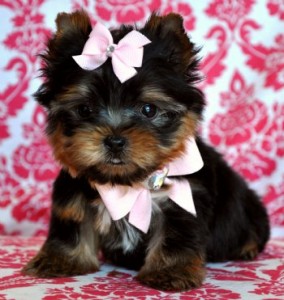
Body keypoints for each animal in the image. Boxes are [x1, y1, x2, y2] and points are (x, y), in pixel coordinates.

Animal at [23, 9, 270, 290]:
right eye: (85, 109)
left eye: (148, 109)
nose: (115, 141)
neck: (125, 183)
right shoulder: (73, 191)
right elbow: (71, 225)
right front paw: (61, 260)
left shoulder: (183, 201)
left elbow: (175, 238)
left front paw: (170, 272)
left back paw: (247, 248)